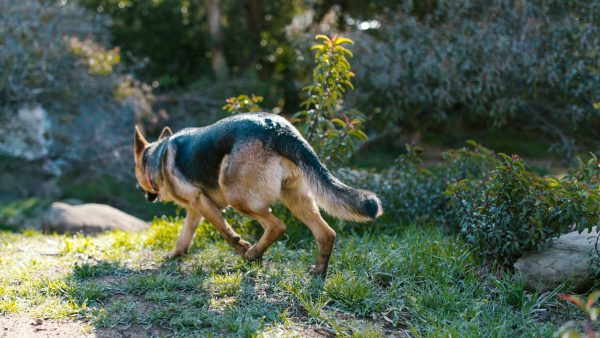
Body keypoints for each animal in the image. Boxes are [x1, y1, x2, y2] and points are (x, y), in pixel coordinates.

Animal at [134, 113, 382, 278]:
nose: (144, 194)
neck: (159, 155)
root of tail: (278, 128)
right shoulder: (196, 209)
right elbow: (185, 236)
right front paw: (176, 254)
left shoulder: (200, 201)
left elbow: (225, 231)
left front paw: (242, 247)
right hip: (296, 199)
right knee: (326, 233)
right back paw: (319, 272)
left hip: (237, 196)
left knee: (277, 225)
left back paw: (253, 254)